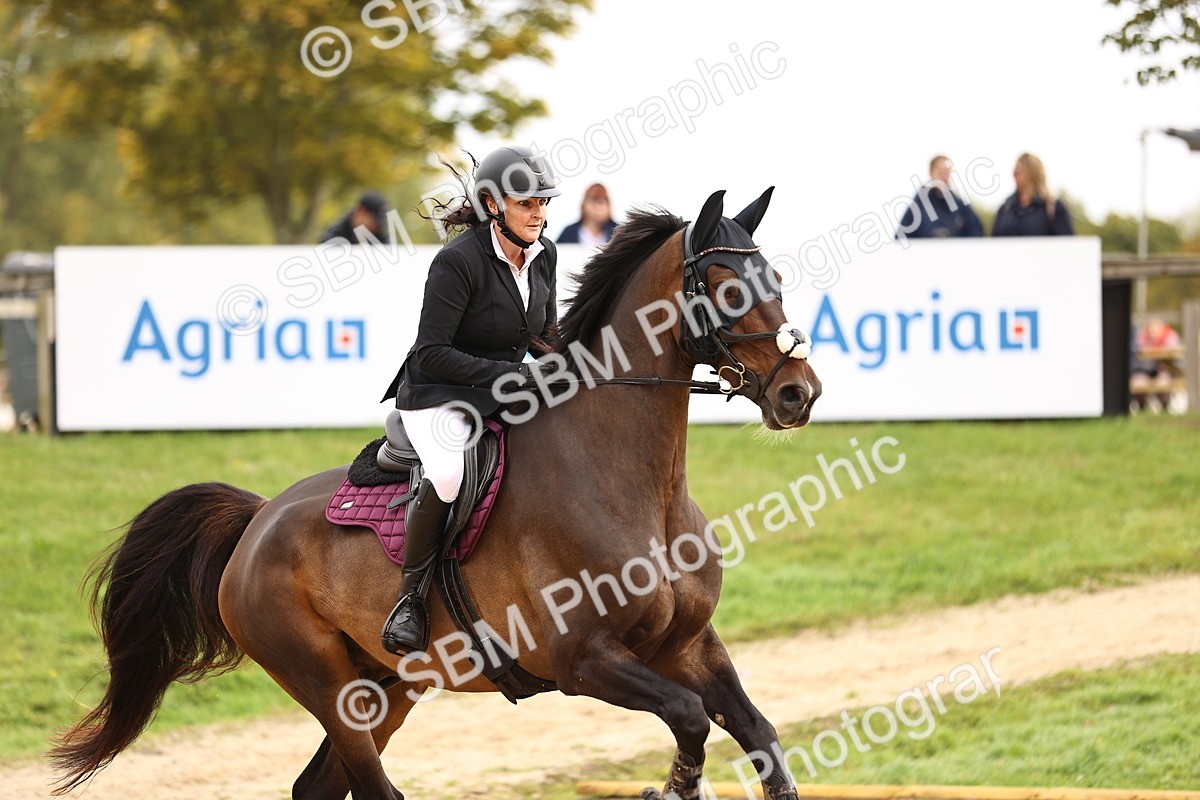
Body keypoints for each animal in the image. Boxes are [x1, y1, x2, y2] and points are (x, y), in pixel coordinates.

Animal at [51, 187, 822, 800]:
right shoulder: (586, 661)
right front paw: (675, 786)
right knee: (368, 787)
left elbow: (759, 732)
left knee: (318, 786)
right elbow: (689, 719)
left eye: (775, 275)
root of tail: (256, 521)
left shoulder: (686, 645)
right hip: (332, 687)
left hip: (389, 684)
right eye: (725, 284)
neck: (637, 485)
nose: (798, 393)